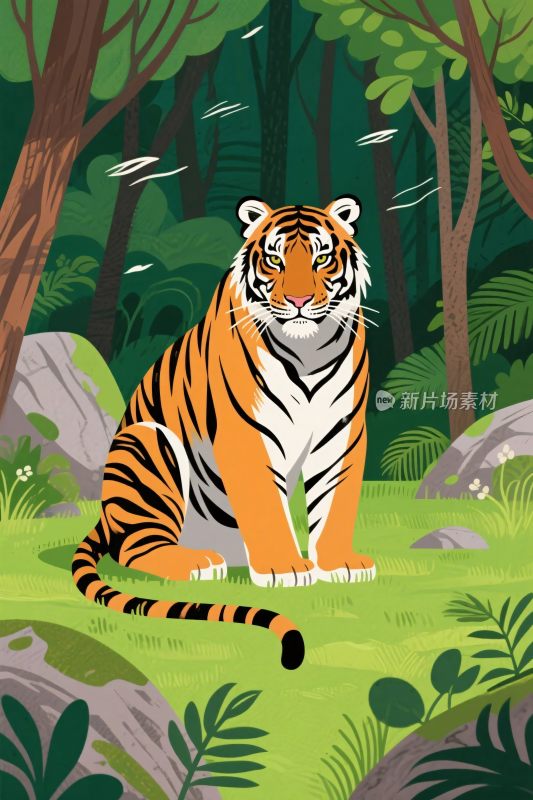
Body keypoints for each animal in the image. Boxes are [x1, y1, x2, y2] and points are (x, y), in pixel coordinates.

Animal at [72, 195, 375, 670]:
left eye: (322, 257)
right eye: (274, 259)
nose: (300, 300)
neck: (307, 350)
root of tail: (104, 514)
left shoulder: (342, 430)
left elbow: (335, 500)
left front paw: (339, 563)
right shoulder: (245, 434)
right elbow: (267, 506)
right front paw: (285, 569)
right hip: (148, 441)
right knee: (135, 547)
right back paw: (196, 563)